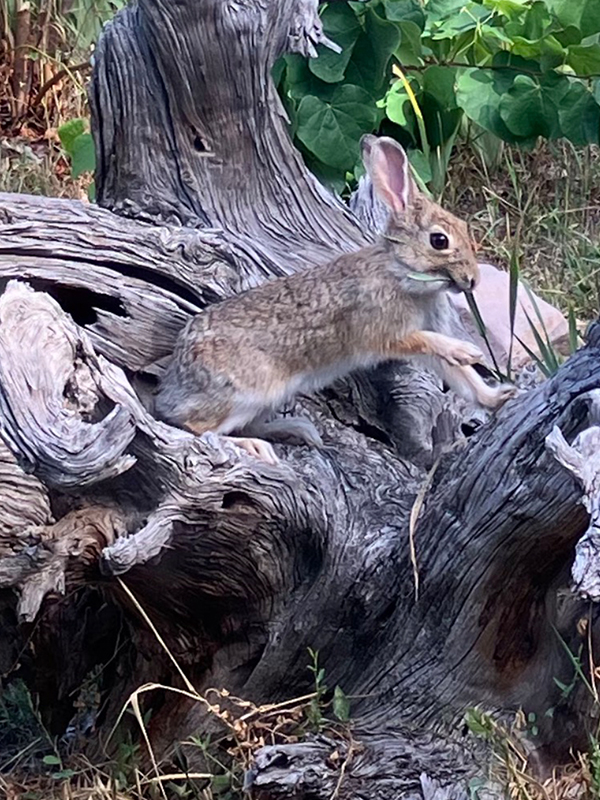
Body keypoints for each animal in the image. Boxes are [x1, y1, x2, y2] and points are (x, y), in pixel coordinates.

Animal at [156, 135, 516, 466]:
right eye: (439, 240)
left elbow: (463, 379)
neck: (402, 272)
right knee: (192, 425)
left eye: (465, 227)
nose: (473, 279)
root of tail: (175, 376)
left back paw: (298, 430)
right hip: (245, 392)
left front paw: (500, 397)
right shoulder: (385, 333)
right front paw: (467, 351)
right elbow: (428, 344)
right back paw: (256, 446)